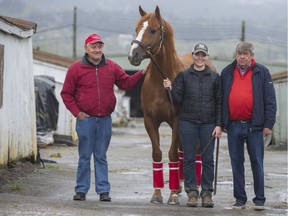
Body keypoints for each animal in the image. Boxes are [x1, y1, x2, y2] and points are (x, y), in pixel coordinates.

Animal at [128, 4, 216, 204]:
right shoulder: (150, 121)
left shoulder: (177, 121)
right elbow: (157, 154)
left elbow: (172, 154)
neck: (162, 80)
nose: (133, 55)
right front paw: (157, 194)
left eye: (153, 30)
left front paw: (173, 194)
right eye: (136, 29)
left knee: (195, 152)